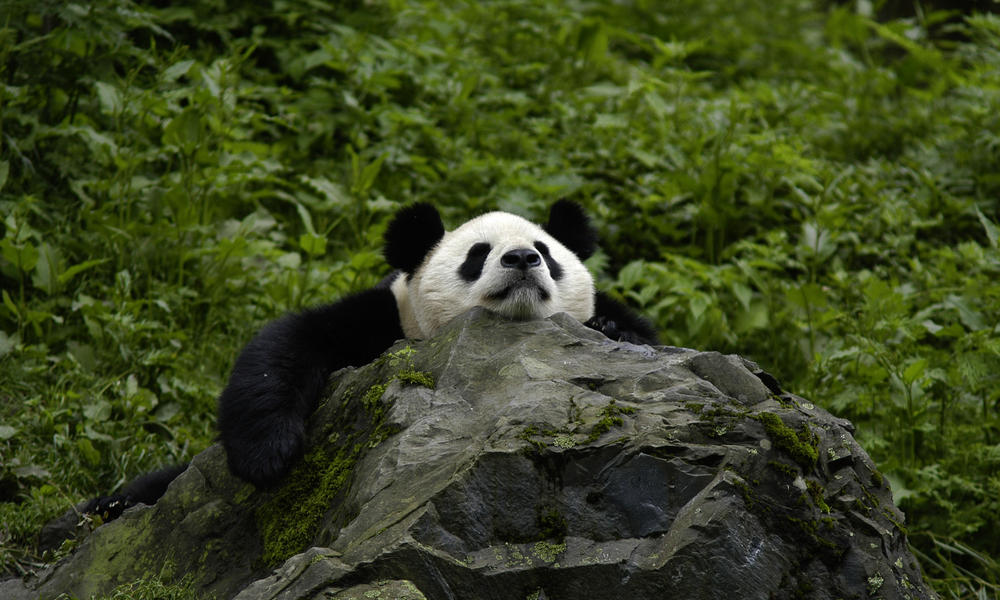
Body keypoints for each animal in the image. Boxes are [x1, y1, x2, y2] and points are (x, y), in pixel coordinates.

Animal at [84, 200, 656, 516]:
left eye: (547, 252)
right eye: (477, 255)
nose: (521, 259)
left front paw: (613, 331)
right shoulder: (388, 321)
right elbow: (289, 343)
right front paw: (269, 454)